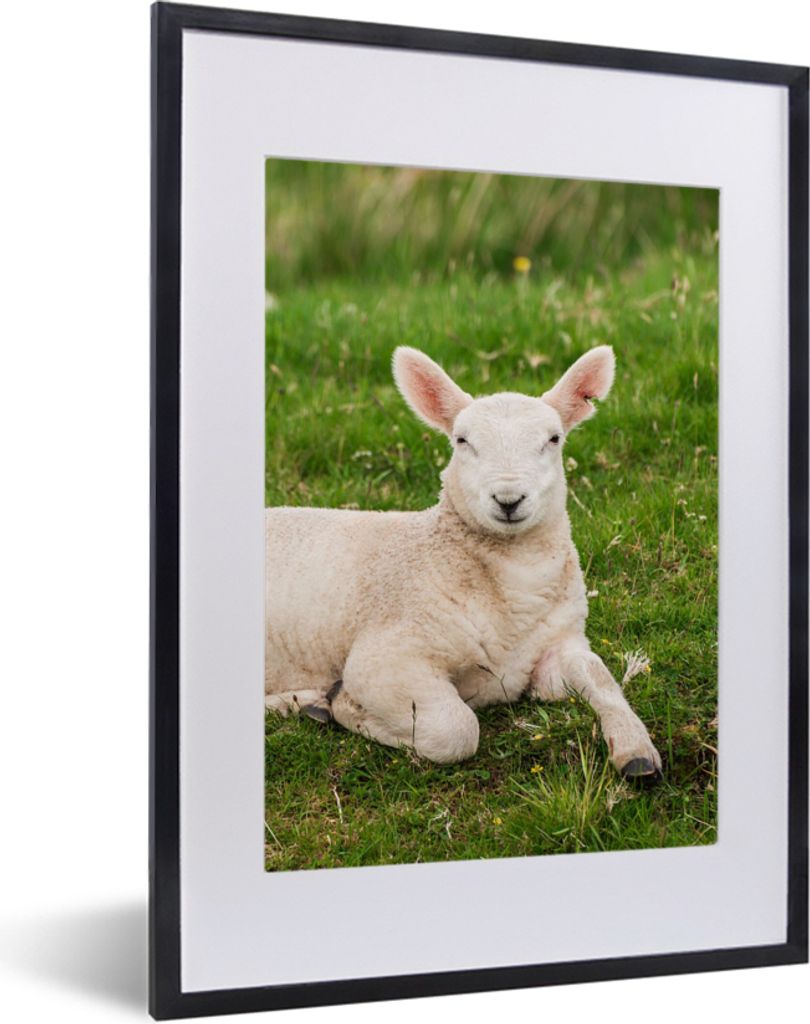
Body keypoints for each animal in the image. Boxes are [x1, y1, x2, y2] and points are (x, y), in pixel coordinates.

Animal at [265, 345, 662, 779]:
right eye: (462, 440)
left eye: (554, 439)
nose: (508, 500)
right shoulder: (384, 656)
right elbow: (455, 729)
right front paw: (349, 707)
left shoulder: (559, 645)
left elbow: (599, 675)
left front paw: (636, 750)